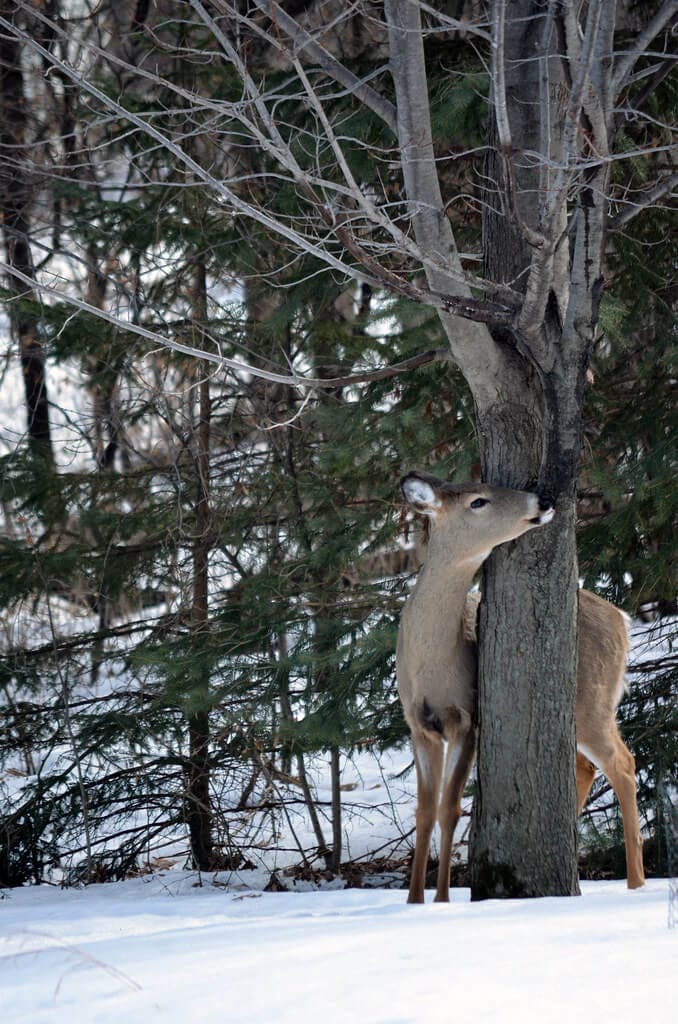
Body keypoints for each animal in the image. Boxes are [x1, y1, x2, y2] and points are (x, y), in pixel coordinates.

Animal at [396, 470, 645, 904]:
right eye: (478, 500)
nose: (543, 501)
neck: (431, 662)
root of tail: (622, 618)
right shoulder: (418, 725)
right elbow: (425, 811)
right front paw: (413, 902)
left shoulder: (468, 717)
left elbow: (449, 808)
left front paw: (441, 901)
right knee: (586, 766)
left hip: (593, 700)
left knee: (622, 763)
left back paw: (636, 884)